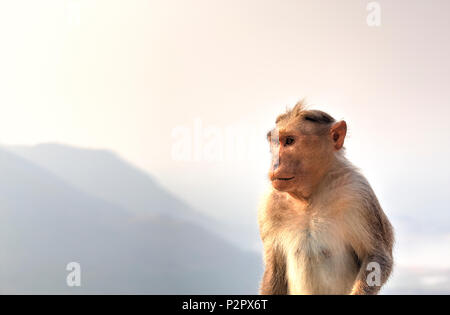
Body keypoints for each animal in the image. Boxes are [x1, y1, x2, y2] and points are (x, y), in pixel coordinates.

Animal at [256, 100, 394, 296]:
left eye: (289, 141)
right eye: (275, 143)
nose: (275, 163)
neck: (309, 196)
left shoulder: (358, 193)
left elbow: (376, 257)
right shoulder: (270, 205)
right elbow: (275, 266)